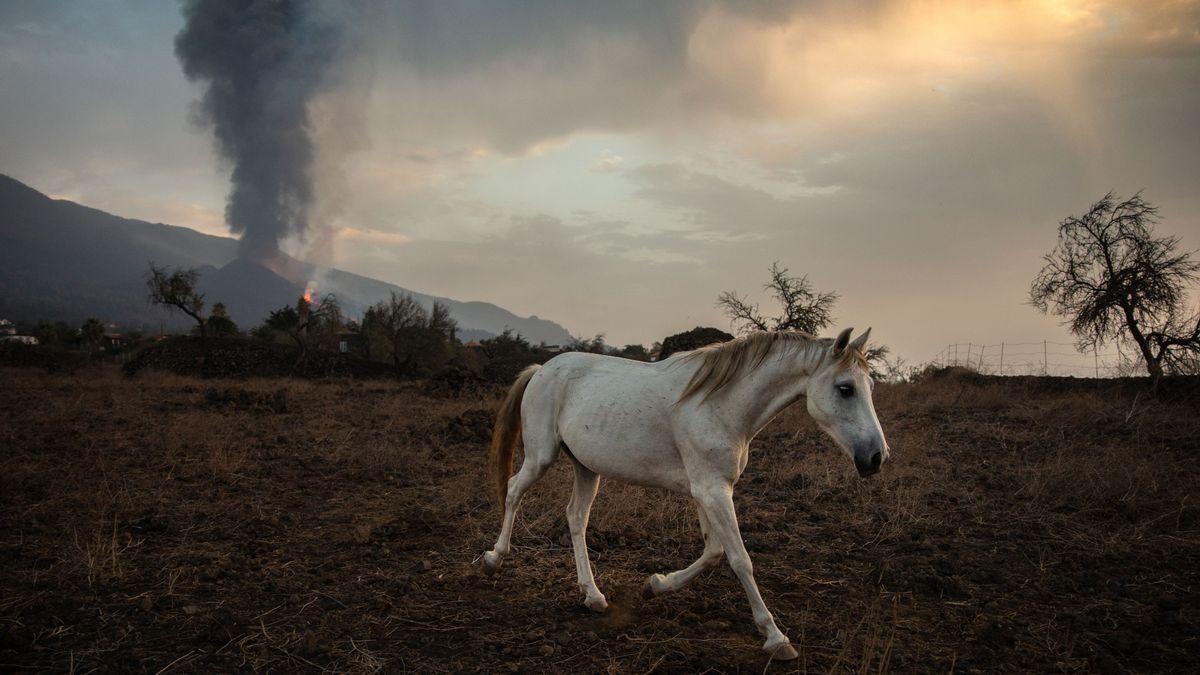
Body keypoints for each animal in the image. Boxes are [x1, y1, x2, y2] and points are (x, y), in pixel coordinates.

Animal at [482, 326, 888, 658]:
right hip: (541, 456)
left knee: (575, 517)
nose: (876, 457)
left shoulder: (708, 490)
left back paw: (593, 596)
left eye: (869, 387)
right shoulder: (712, 491)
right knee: (514, 492)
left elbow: (713, 552)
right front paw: (775, 638)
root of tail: (541, 369)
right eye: (845, 388)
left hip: (586, 468)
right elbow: (740, 559)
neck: (719, 405)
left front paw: (656, 585)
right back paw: (493, 558)